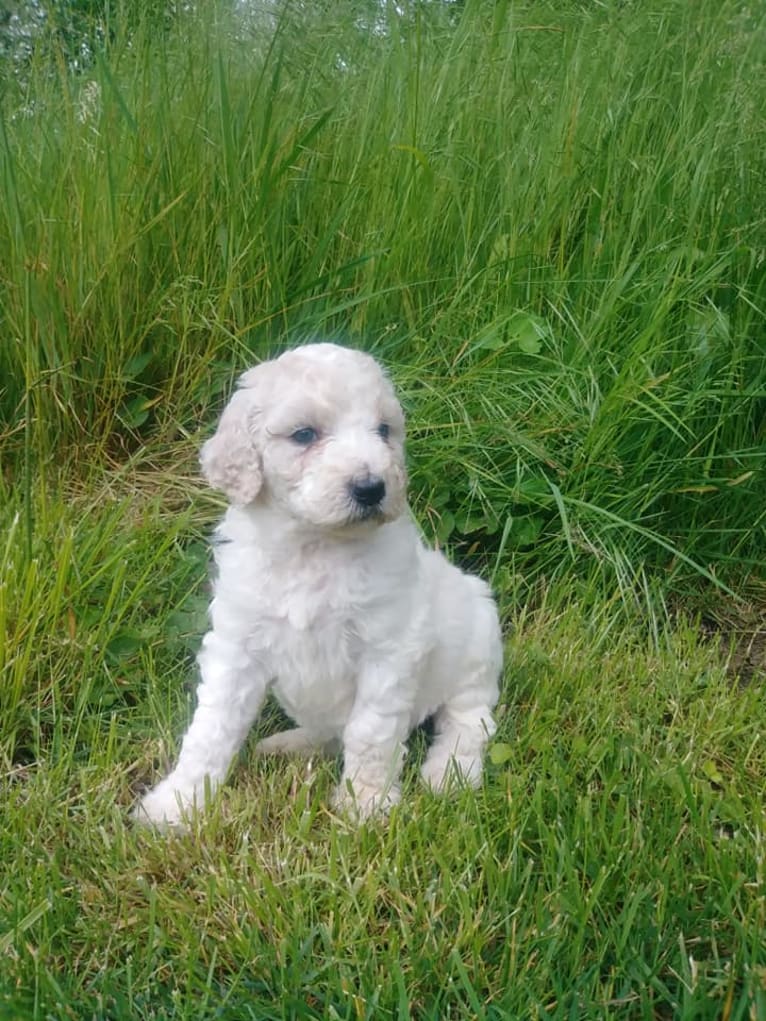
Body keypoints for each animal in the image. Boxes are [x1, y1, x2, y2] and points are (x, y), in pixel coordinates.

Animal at [131, 343, 504, 829]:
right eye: (304, 435)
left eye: (383, 430)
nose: (372, 488)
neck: (315, 546)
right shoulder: (237, 645)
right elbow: (211, 727)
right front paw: (177, 803)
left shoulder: (388, 651)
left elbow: (370, 732)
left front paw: (365, 806)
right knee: (330, 734)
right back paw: (288, 745)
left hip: (476, 648)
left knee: (470, 721)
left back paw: (449, 773)